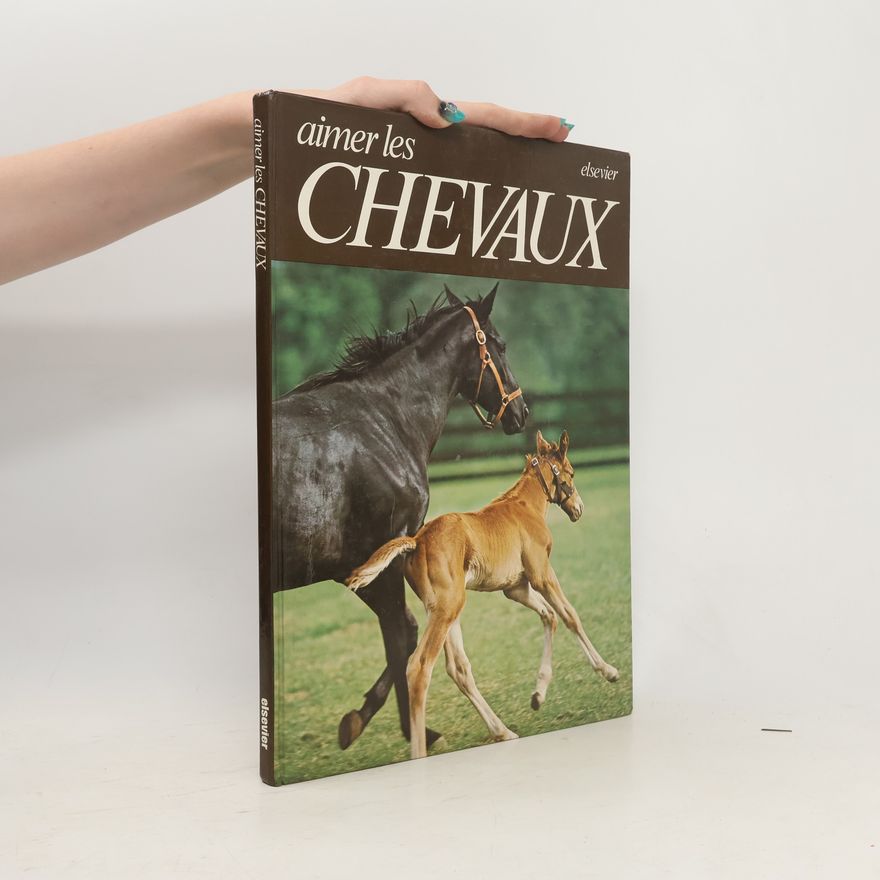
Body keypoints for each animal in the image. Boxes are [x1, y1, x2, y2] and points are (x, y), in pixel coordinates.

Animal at [272, 283, 529, 751]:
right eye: (500, 345)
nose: (520, 413)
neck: (383, 421)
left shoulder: (361, 569)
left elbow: (401, 634)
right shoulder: (384, 556)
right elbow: (403, 634)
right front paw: (396, 727)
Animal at [346, 430, 619, 759]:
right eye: (571, 473)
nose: (579, 509)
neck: (524, 507)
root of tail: (416, 540)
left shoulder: (516, 588)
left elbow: (549, 615)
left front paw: (538, 695)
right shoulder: (541, 574)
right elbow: (569, 616)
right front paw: (608, 671)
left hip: (442, 609)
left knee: (458, 668)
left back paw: (502, 731)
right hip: (449, 608)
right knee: (420, 667)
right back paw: (422, 749)